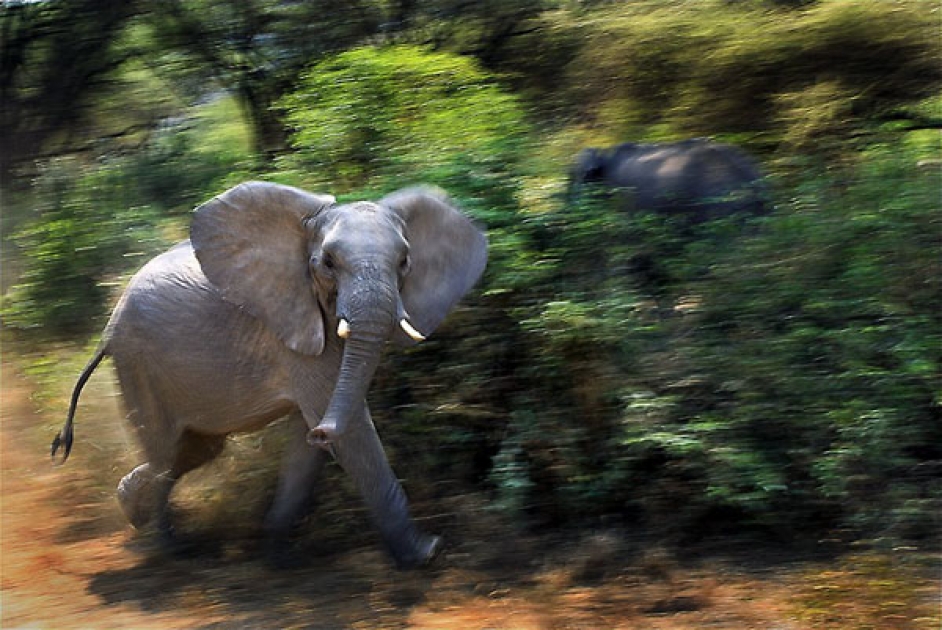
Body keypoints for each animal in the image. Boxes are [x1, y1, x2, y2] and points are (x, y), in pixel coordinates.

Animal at [53, 183, 486, 572]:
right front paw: (426, 554)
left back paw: (132, 511)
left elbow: (307, 448)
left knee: (192, 450)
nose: (321, 432)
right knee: (165, 452)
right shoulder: (294, 333)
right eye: (328, 263)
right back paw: (170, 552)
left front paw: (281, 557)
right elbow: (354, 435)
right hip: (137, 363)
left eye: (404, 263)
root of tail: (107, 330)